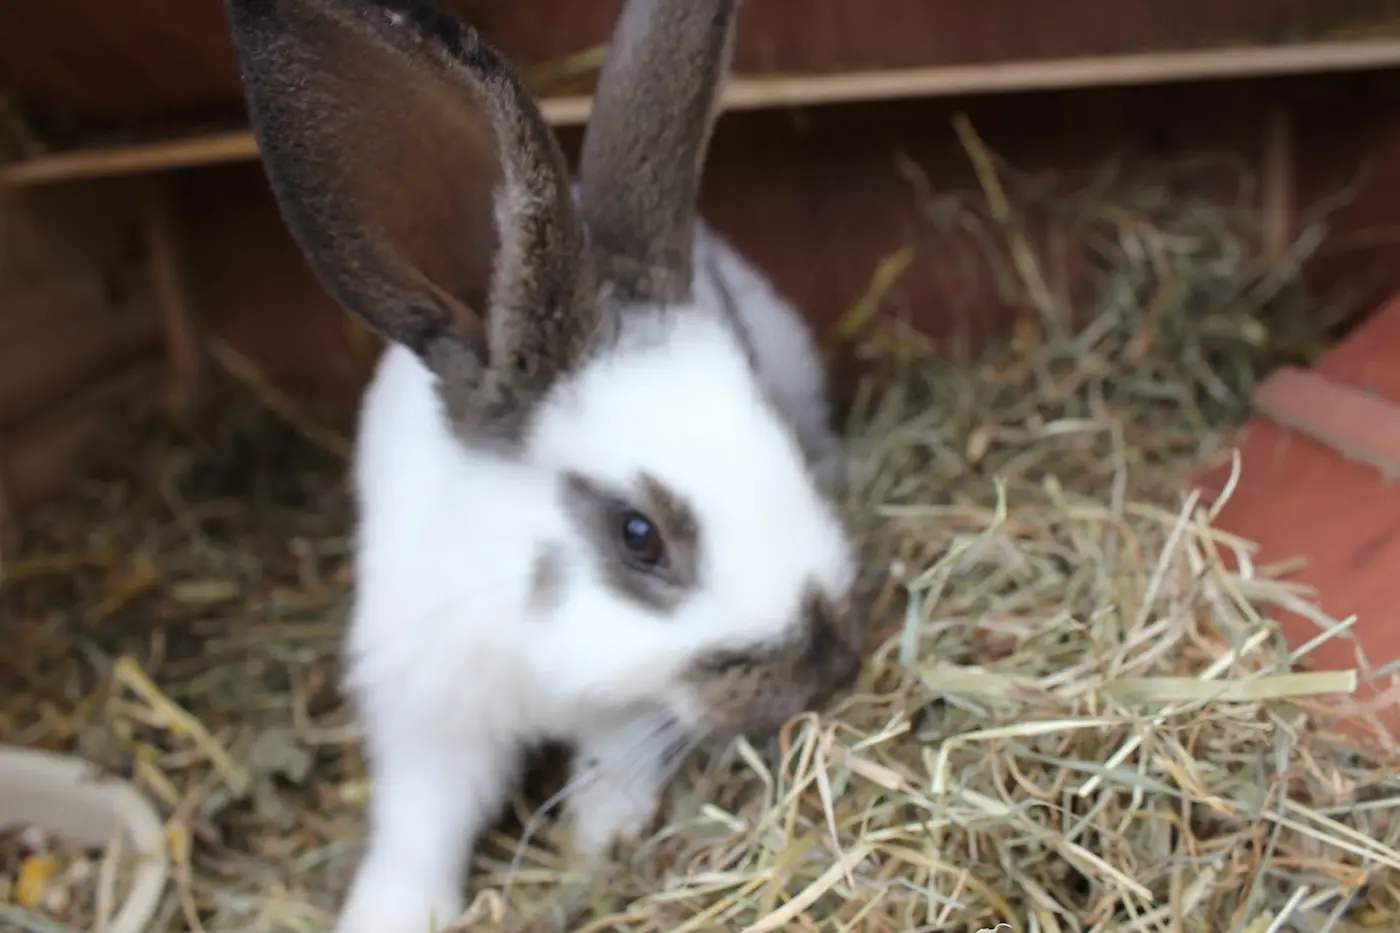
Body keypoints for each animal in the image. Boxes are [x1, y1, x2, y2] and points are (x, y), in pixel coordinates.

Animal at [224, 1, 863, 932]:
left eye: (774, 431)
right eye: (638, 535)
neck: (531, 648)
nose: (829, 665)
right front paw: (390, 908)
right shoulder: (427, 708)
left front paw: (598, 832)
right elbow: (421, 819)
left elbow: (617, 752)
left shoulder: (627, 704)